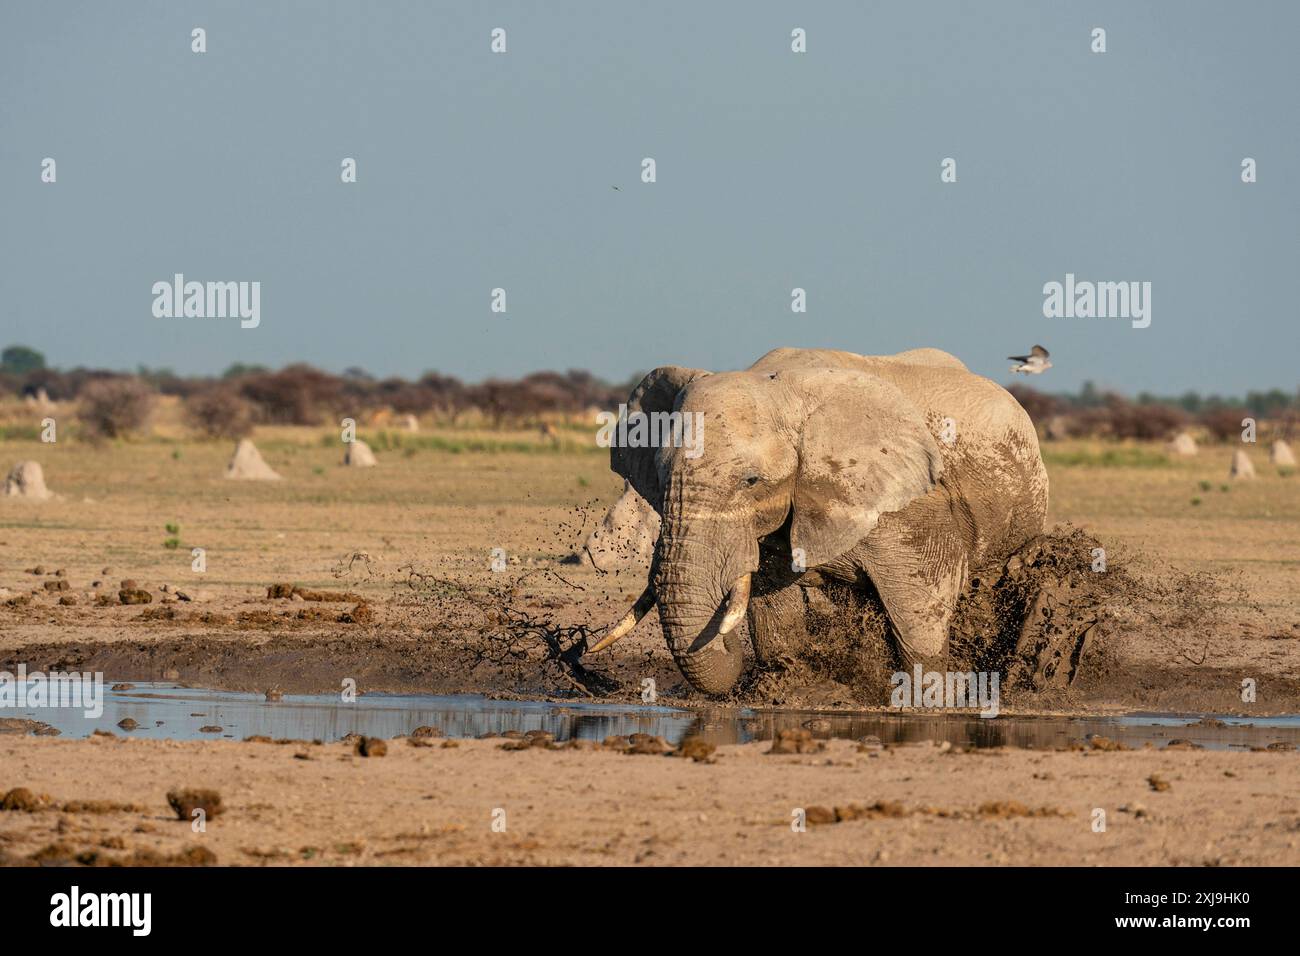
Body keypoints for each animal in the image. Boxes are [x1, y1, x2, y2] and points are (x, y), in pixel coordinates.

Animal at [585, 346, 1049, 696]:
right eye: (662, 478)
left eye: (751, 481)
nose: (581, 647)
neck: (779, 387)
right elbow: (774, 611)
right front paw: (786, 682)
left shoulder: (913, 505)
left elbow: (920, 608)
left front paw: (930, 700)